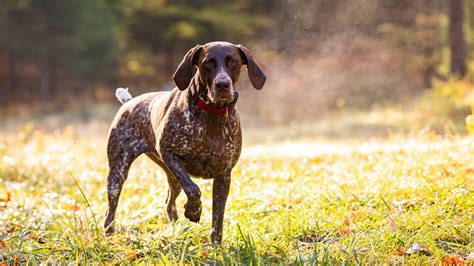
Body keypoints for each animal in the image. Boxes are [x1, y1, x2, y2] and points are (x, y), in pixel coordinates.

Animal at [104, 41, 266, 243]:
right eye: (208, 62)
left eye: (233, 61)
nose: (222, 84)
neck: (212, 114)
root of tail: (129, 102)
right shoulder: (168, 153)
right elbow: (194, 189)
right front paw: (194, 211)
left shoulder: (224, 175)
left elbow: (218, 219)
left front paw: (215, 245)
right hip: (118, 173)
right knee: (111, 209)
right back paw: (109, 234)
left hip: (172, 179)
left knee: (169, 203)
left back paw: (177, 230)